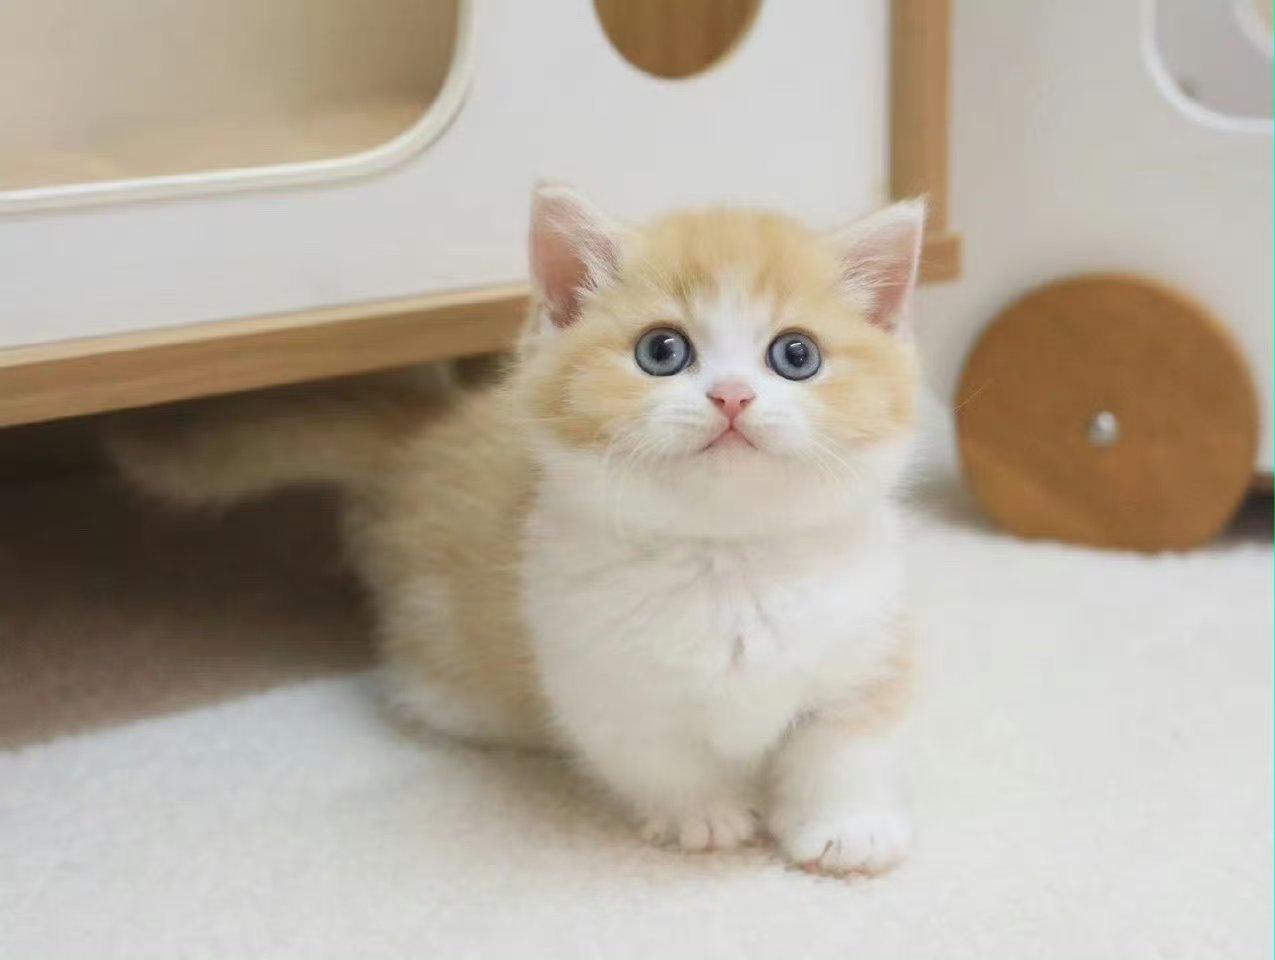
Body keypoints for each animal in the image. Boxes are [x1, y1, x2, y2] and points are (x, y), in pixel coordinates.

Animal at [110, 184, 926, 875]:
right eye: (662, 351)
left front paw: (844, 829)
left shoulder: (867, 643)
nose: (731, 396)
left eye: (796, 355)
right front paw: (702, 815)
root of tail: (428, 433)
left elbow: (843, 748)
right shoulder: (595, 672)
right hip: (453, 672)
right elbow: (657, 755)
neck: (726, 560)